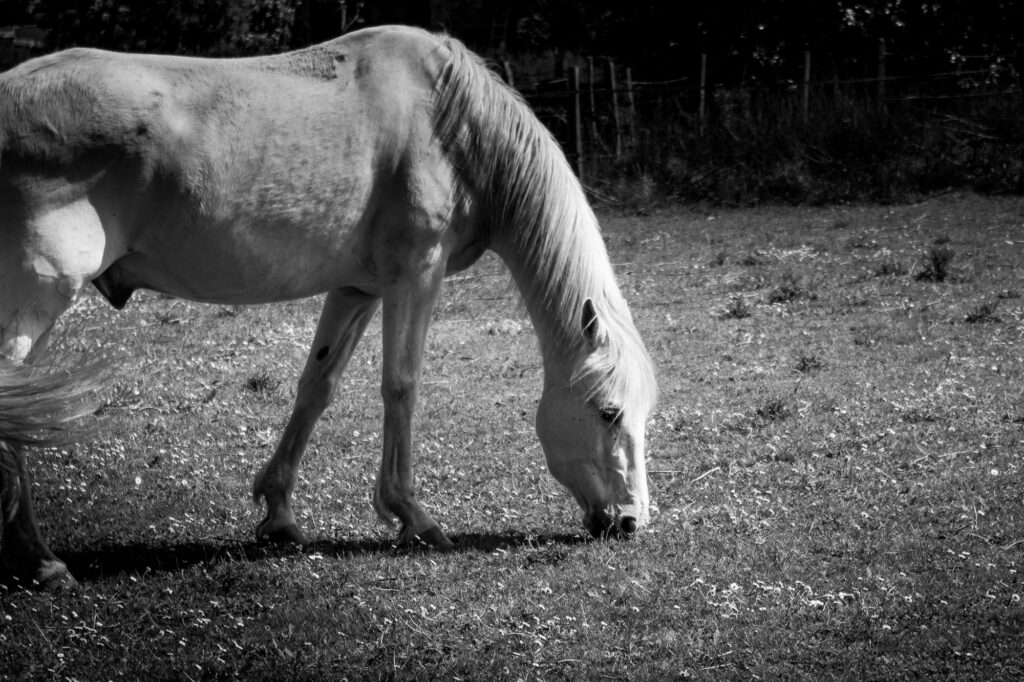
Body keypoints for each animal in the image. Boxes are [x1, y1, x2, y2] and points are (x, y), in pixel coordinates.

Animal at [0, 25, 657, 589]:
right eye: (608, 412)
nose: (630, 522)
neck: (451, 123)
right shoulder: (415, 275)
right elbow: (401, 385)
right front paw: (412, 515)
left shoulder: (358, 289)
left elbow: (316, 386)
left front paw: (279, 514)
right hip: (36, 301)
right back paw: (44, 563)